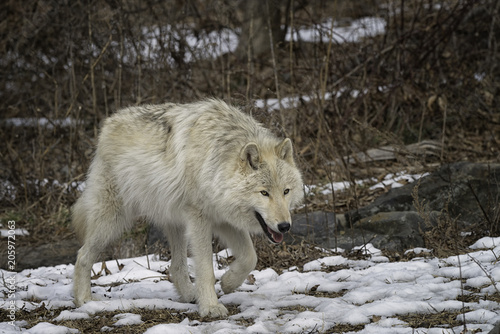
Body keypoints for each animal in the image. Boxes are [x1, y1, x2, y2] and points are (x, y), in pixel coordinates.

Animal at [72, 98, 302, 318]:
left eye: (286, 191)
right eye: (264, 193)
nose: (284, 226)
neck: (216, 161)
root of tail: (108, 123)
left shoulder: (223, 218)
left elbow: (250, 257)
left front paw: (228, 283)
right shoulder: (199, 218)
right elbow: (207, 269)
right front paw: (211, 307)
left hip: (175, 224)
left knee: (176, 266)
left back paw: (190, 295)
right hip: (111, 221)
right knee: (82, 255)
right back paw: (84, 300)